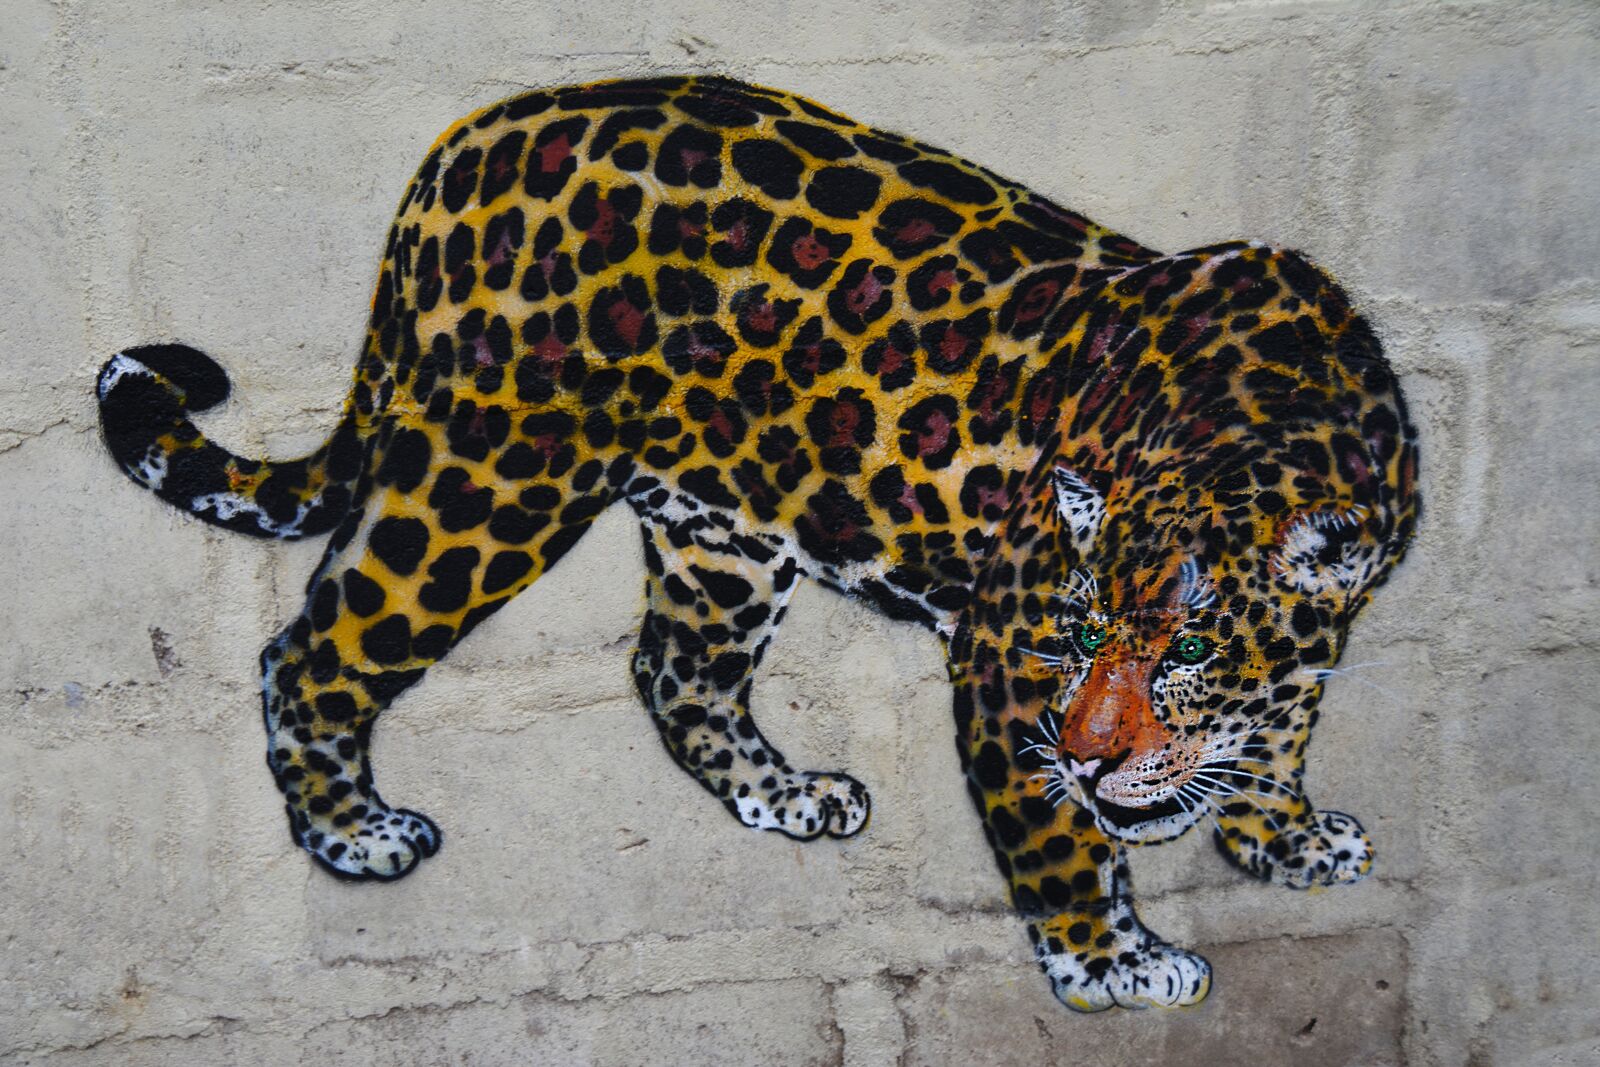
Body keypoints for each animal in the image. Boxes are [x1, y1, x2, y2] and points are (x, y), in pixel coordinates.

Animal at [97, 75, 1419, 1012]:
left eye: (1189, 650)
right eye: (1079, 636)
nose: (1093, 761)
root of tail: (462, 148)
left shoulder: (1317, 635)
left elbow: (1277, 731)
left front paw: (1282, 837)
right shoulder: (1001, 650)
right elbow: (1050, 837)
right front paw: (1111, 960)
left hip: (720, 530)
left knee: (675, 669)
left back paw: (786, 792)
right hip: (493, 476)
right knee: (312, 652)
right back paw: (354, 834)